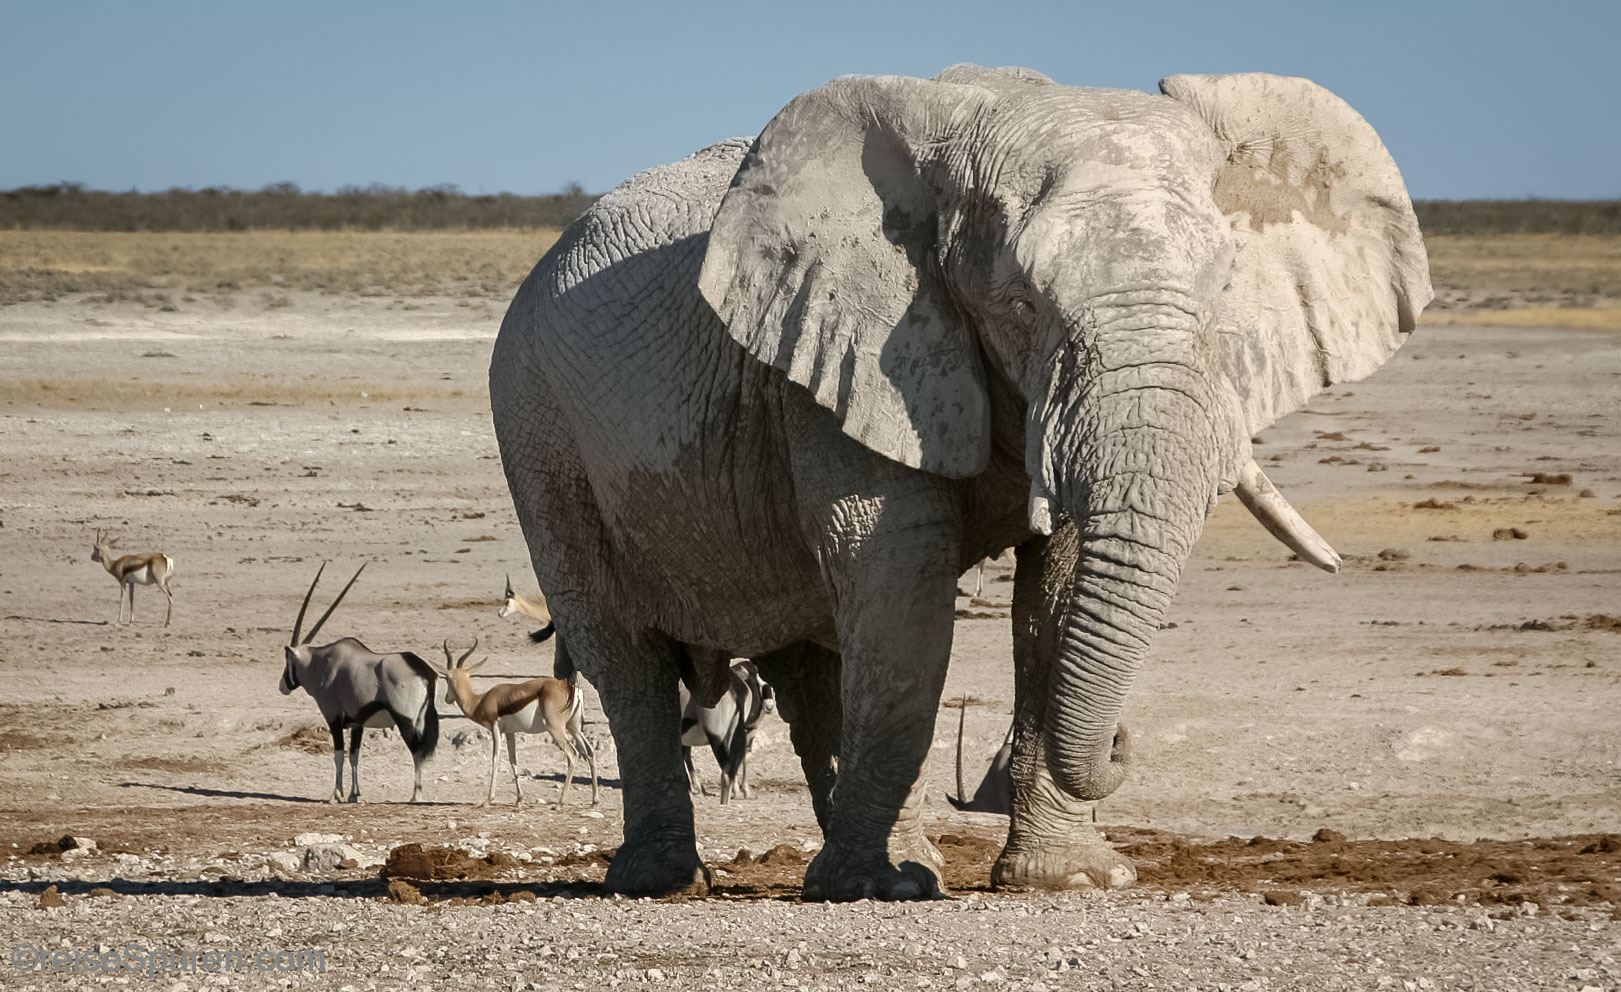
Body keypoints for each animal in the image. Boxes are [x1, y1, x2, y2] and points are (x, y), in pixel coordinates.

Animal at [489, 64, 1431, 900]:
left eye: (1222, 290)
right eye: (1019, 305)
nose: (1120, 746)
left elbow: (1055, 592)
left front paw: (1071, 880)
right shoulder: (848, 353)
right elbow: (899, 590)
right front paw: (881, 887)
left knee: (815, 664)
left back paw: (889, 865)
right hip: (537, 423)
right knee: (623, 654)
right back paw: (679, 879)